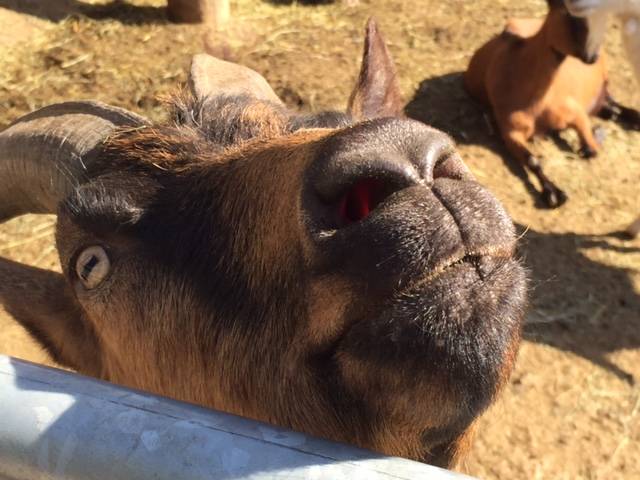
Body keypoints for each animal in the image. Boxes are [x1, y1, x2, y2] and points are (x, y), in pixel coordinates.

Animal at [464, 0, 640, 208]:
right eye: (569, 13)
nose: (592, 56)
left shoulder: (576, 113)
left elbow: (590, 149)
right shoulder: (510, 131)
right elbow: (533, 160)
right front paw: (554, 193)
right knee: (612, 108)